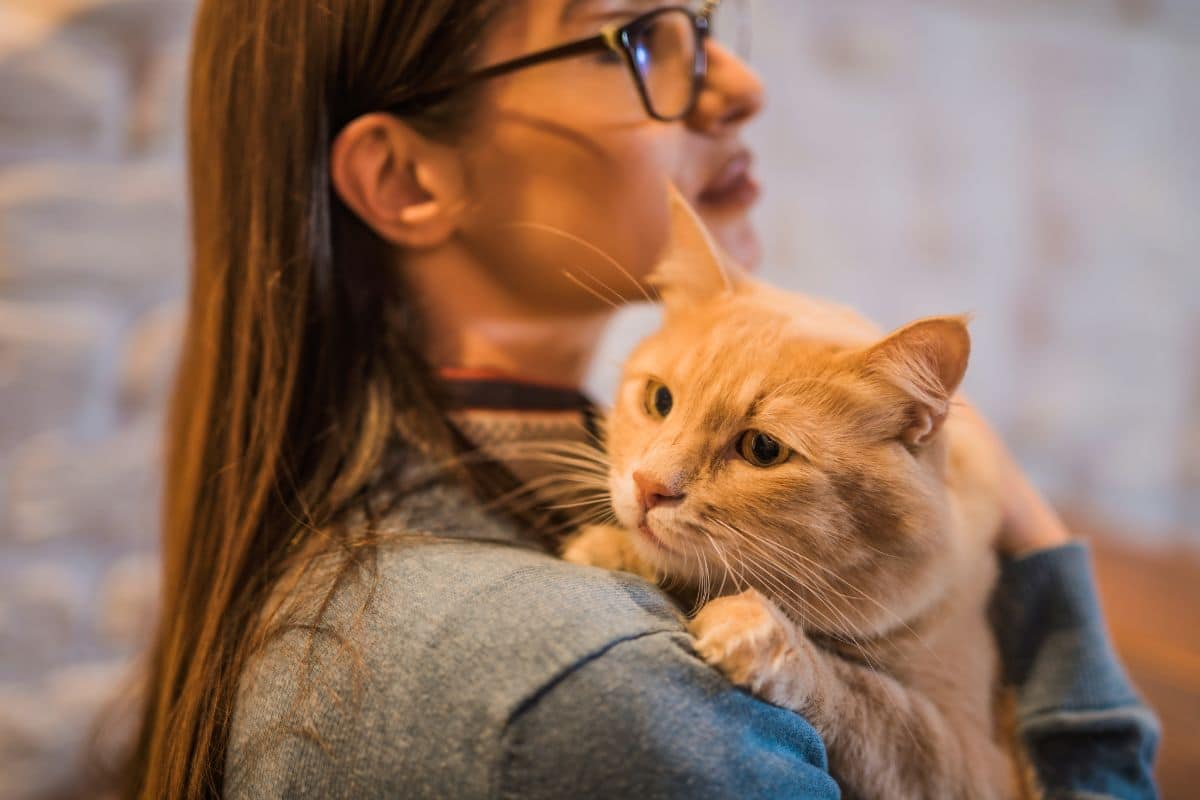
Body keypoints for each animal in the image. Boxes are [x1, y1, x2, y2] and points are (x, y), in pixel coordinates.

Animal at [556, 189, 1036, 800]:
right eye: (659, 400)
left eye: (762, 449)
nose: (648, 487)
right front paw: (610, 547)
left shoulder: (973, 760)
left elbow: (868, 699)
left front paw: (758, 634)